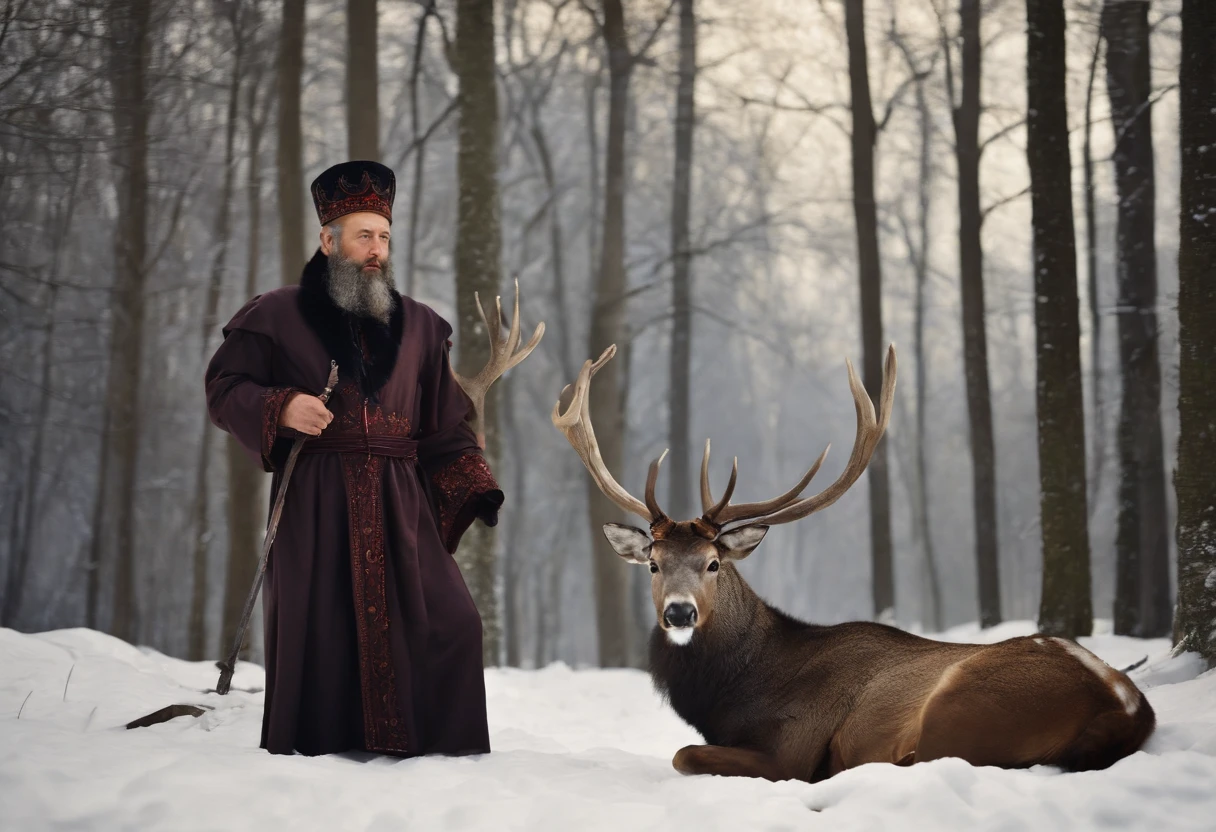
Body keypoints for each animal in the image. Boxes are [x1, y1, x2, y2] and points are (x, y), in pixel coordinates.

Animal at [552, 343, 1155, 783]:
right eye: (653, 564)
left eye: (712, 563)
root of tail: (1124, 704)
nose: (679, 613)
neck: (734, 693)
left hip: (962, 710)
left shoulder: (791, 747)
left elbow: (684, 754)